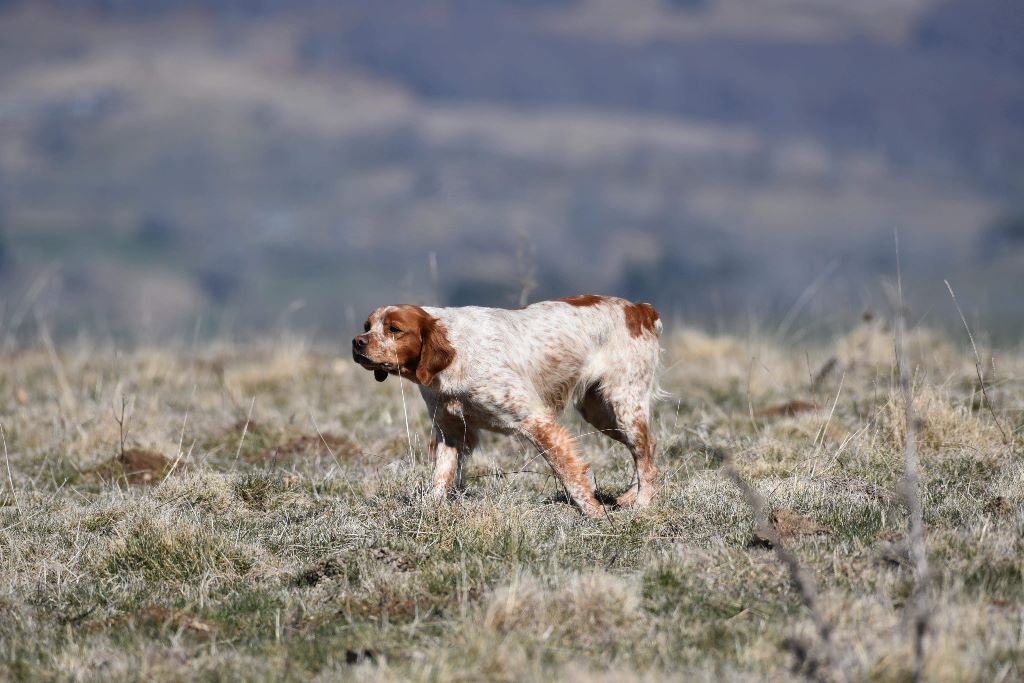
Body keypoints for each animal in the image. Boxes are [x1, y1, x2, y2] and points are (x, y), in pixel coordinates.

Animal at [352, 294, 663, 518]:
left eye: (394, 329)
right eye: (367, 327)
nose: (357, 342)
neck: (457, 354)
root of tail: (640, 309)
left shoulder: (536, 420)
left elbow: (568, 472)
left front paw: (594, 513)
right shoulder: (451, 431)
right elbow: (441, 476)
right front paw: (427, 508)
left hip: (623, 403)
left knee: (645, 457)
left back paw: (642, 505)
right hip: (600, 411)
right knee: (646, 448)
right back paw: (629, 497)